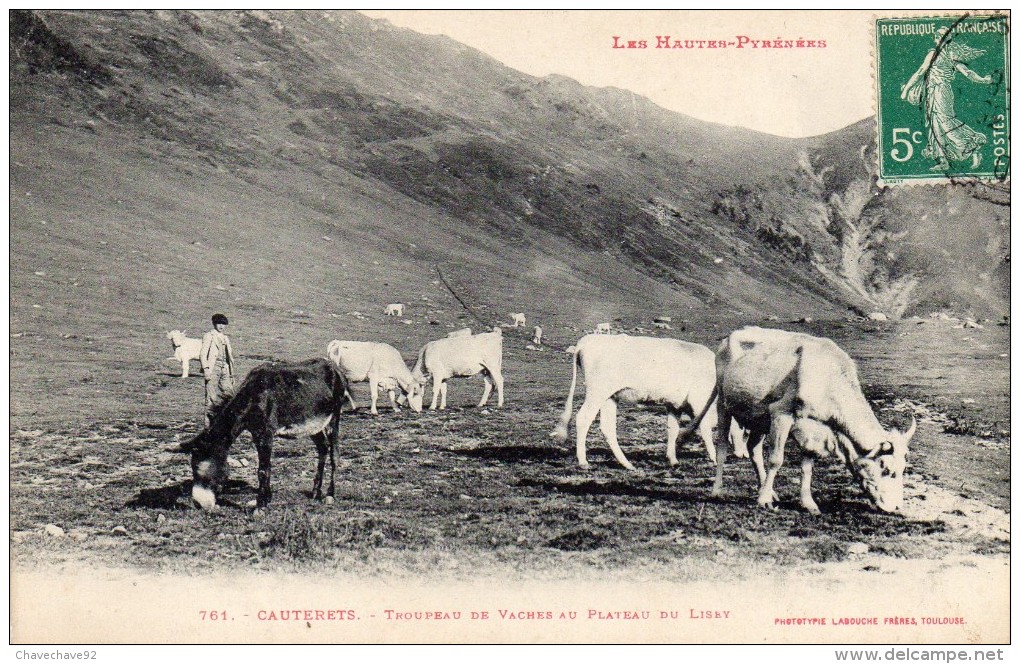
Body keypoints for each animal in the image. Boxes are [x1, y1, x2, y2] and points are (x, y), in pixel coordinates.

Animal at [554, 334, 722, 469]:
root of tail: (587, 340)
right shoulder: (699, 399)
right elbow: (705, 428)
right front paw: (714, 458)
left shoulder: (674, 404)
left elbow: (673, 429)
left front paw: (673, 459)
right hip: (596, 392)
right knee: (583, 418)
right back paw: (583, 461)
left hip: (609, 396)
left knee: (608, 427)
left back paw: (627, 464)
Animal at [709, 326, 918, 514]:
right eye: (887, 470)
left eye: (903, 468)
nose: (897, 507)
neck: (828, 379)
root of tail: (731, 336)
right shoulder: (781, 414)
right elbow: (776, 460)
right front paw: (763, 501)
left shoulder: (815, 429)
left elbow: (807, 467)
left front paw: (807, 503)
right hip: (723, 403)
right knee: (722, 447)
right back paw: (718, 490)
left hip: (758, 416)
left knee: (753, 449)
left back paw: (768, 491)